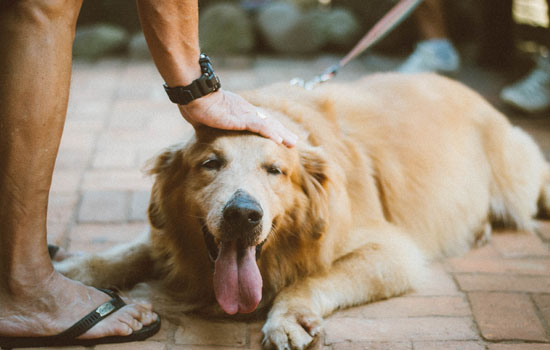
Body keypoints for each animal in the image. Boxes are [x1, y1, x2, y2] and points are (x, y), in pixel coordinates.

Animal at [57, 73, 550, 350]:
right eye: (210, 163)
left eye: (275, 170)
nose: (243, 214)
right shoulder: (170, 239)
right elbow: (126, 252)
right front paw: (72, 272)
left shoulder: (393, 252)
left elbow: (313, 277)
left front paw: (289, 316)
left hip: (521, 180)